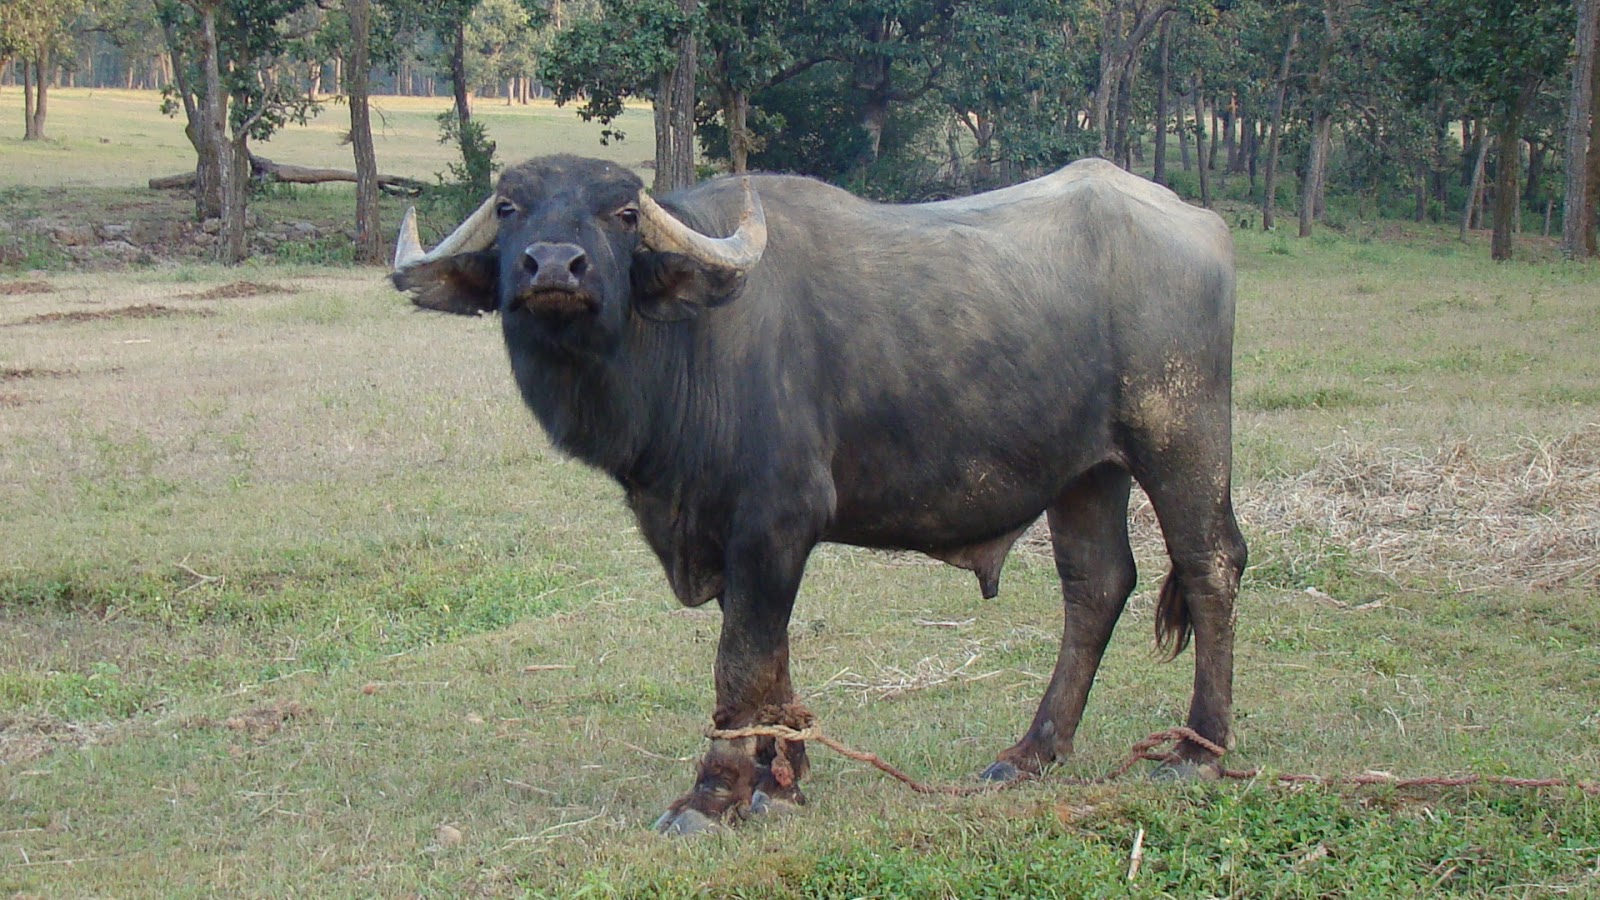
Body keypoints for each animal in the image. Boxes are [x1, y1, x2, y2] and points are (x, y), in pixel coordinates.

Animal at [391, 154, 1246, 834]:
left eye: (623, 213)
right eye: (509, 207)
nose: (553, 267)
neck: (692, 348)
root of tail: (1200, 225)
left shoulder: (774, 524)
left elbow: (740, 664)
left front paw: (712, 797)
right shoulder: (737, 540)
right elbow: (771, 659)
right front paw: (779, 783)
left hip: (1180, 434)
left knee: (1212, 565)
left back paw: (1197, 750)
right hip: (1084, 472)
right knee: (1096, 585)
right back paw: (1033, 751)